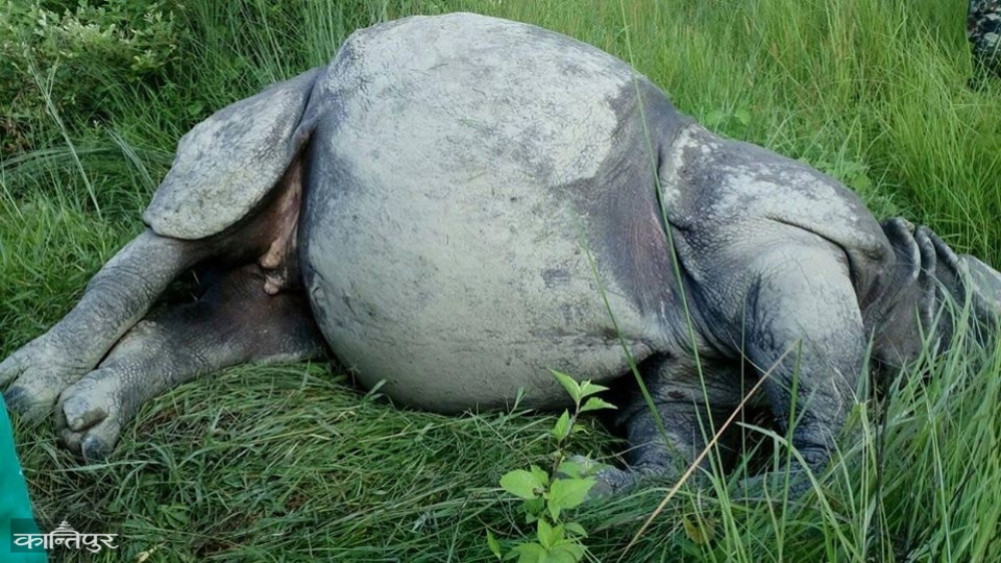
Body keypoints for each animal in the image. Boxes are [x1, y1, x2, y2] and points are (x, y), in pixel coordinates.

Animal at [2, 13, 1000, 496]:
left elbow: (670, 440)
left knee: (254, 317)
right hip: (294, 101)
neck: (913, 276)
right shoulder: (783, 239)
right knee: (200, 209)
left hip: (299, 265)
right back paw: (29, 391)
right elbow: (828, 414)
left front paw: (595, 486)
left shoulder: (688, 359)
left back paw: (91, 423)